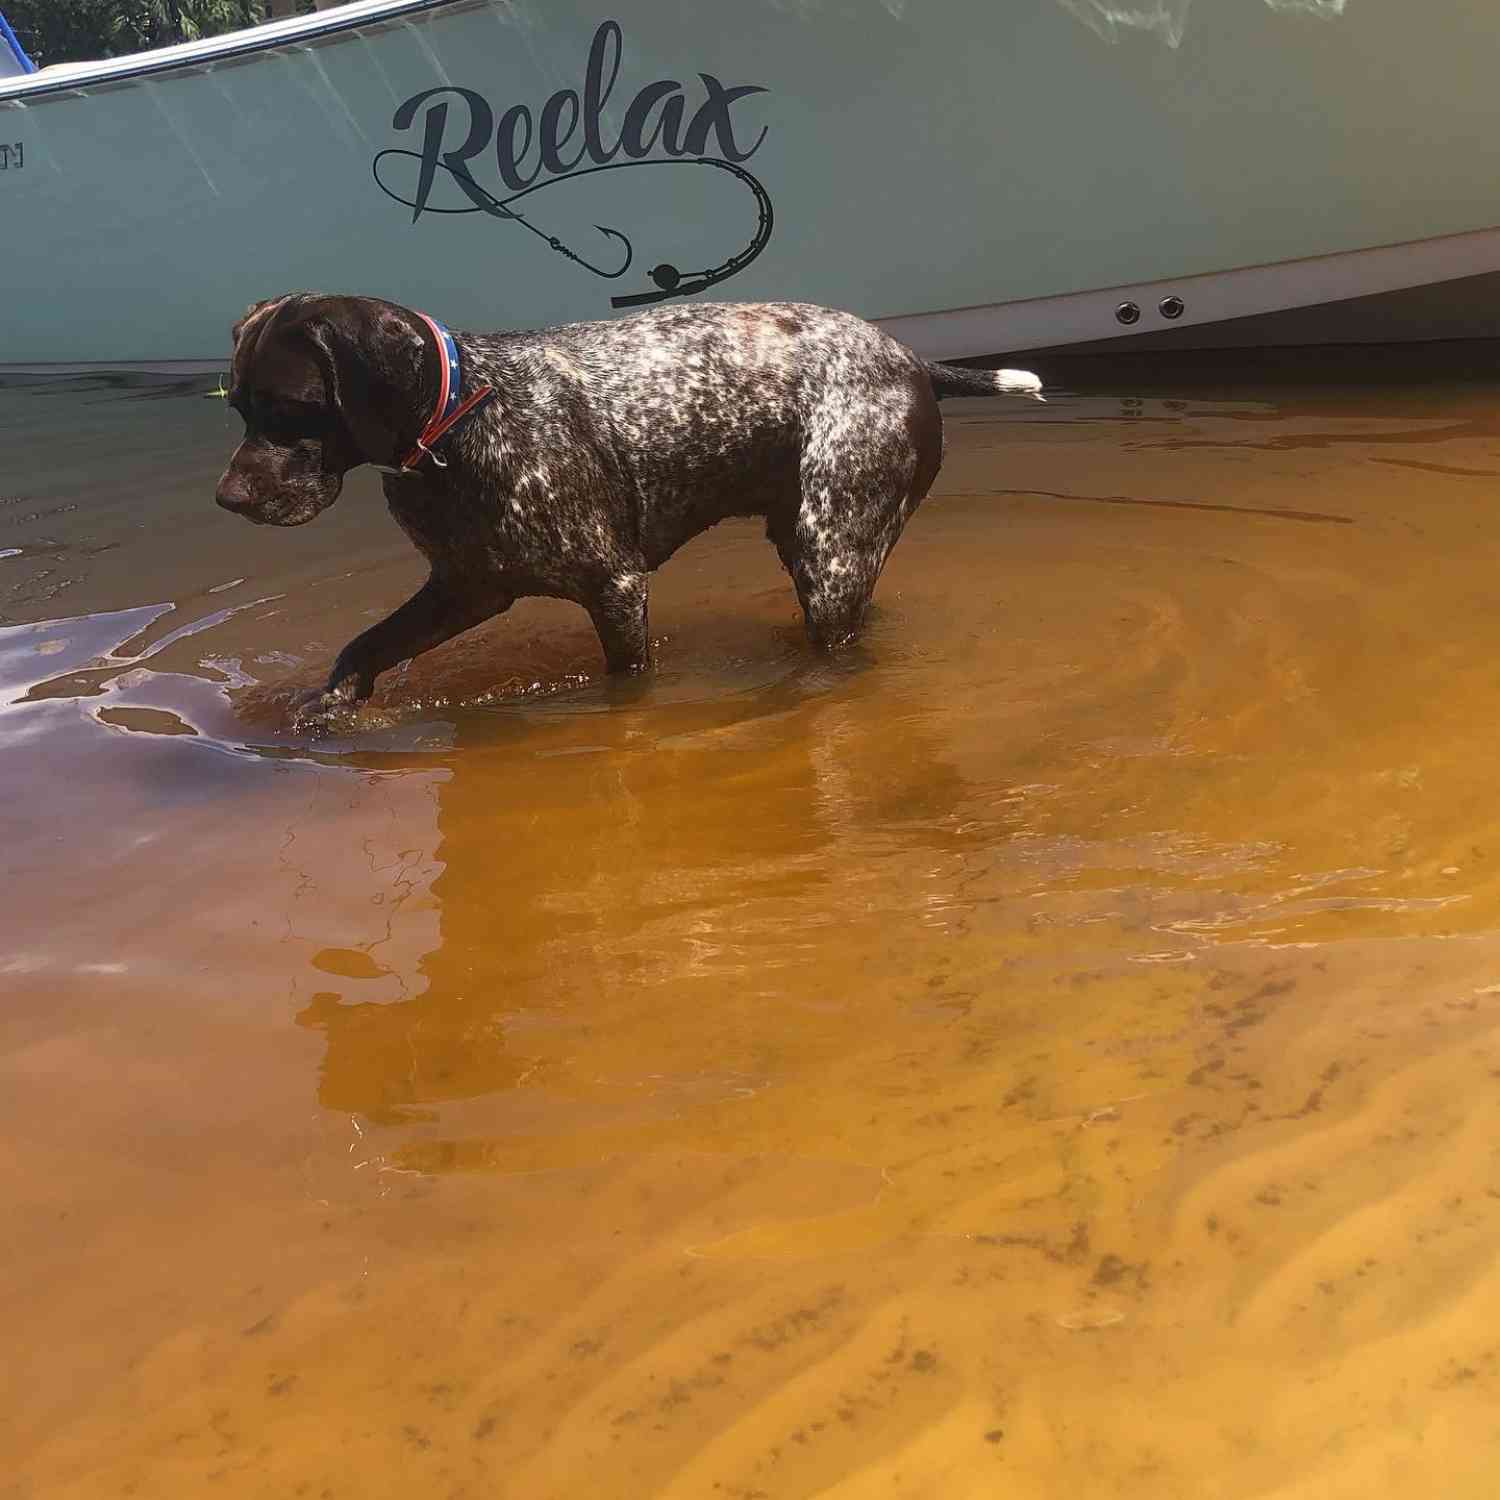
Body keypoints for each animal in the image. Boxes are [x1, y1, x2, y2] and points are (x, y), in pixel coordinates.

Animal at [217, 295, 1044, 723]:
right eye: (238, 407)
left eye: (289, 408)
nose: (228, 498)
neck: (460, 417)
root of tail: (911, 360)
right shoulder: (464, 590)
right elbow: (360, 649)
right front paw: (333, 706)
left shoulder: (614, 589)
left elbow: (627, 680)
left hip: (830, 554)